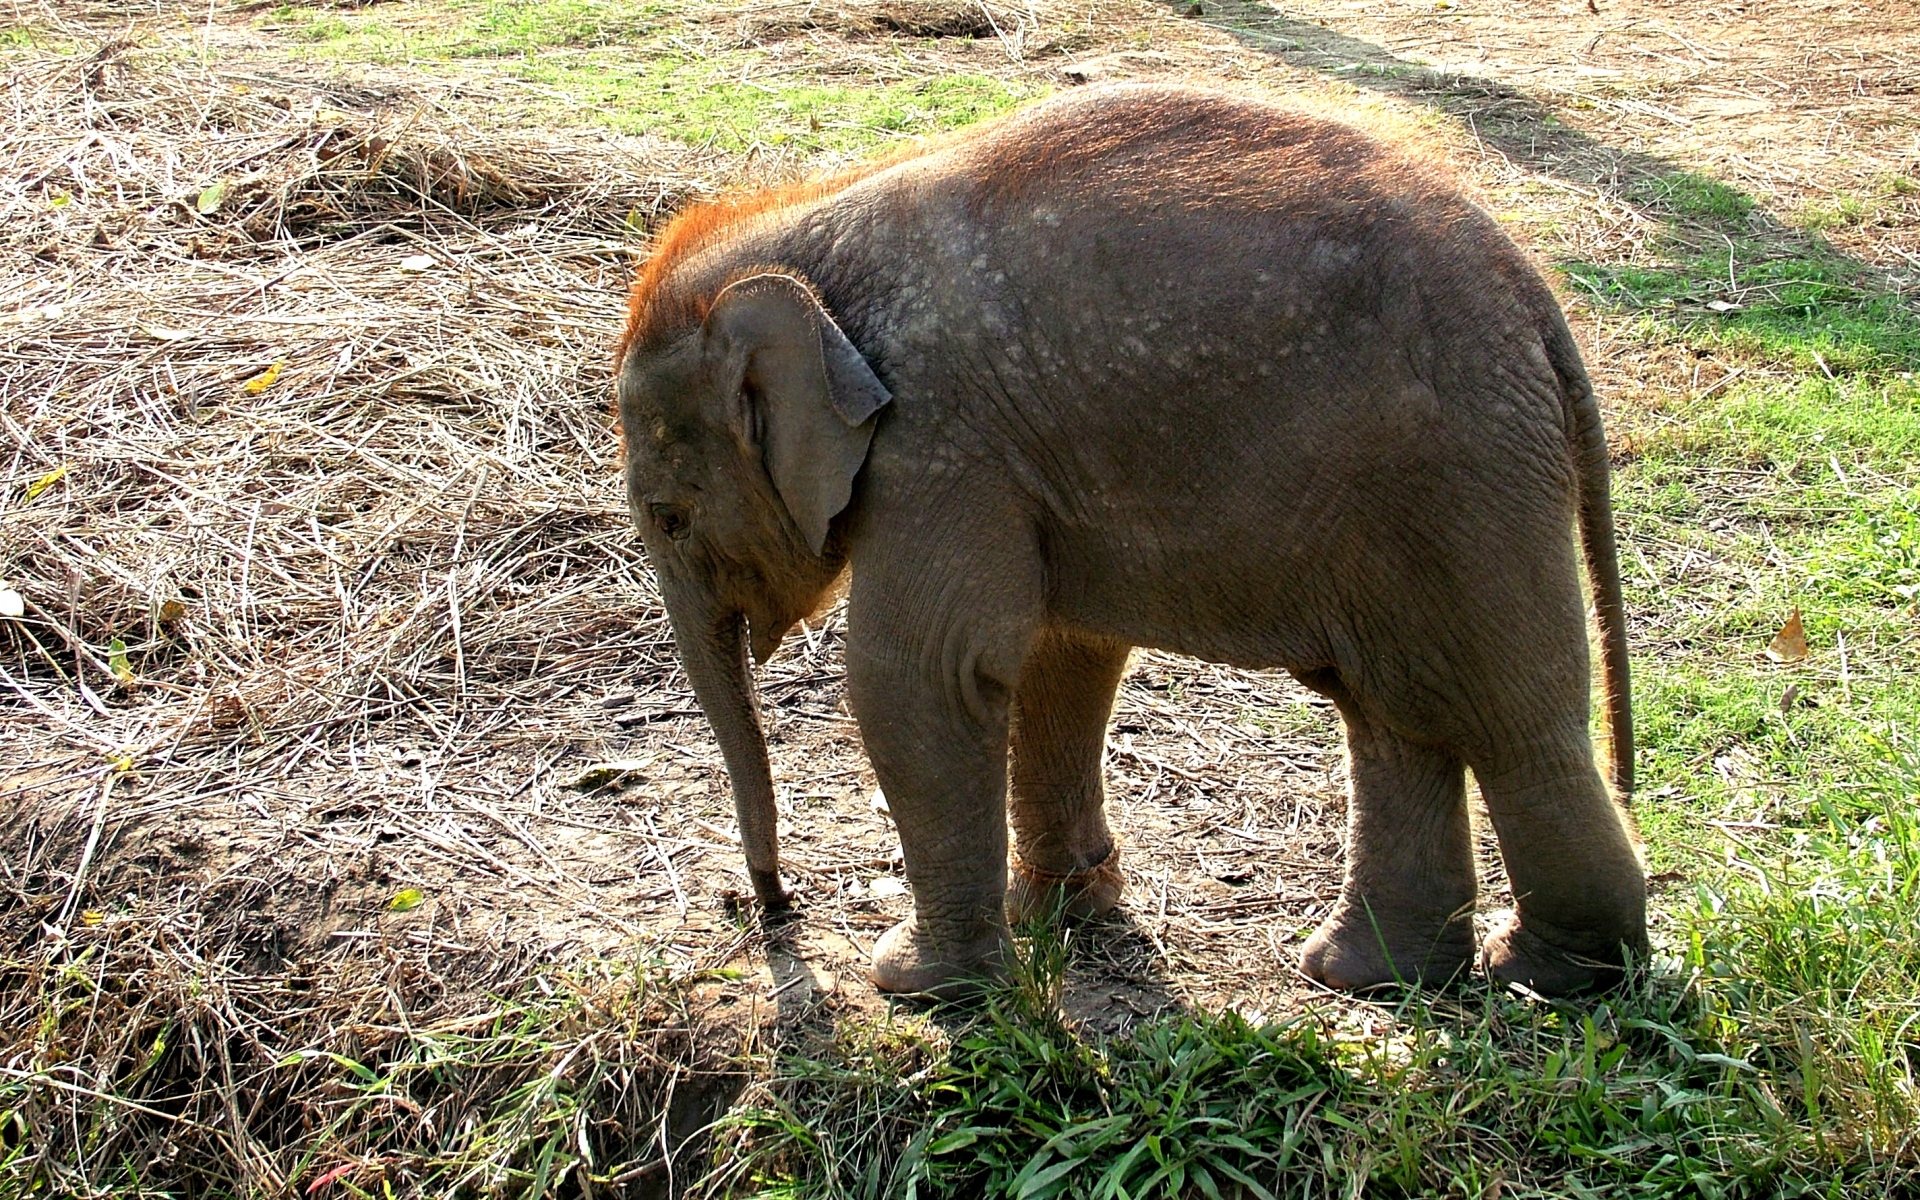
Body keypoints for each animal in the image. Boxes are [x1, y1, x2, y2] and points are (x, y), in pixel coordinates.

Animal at [612, 83, 1647, 999]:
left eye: (669, 516)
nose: (775, 908)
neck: (810, 238)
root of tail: (1538, 301)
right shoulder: (1024, 463)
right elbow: (1059, 654)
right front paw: (1060, 917)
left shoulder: (939, 446)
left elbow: (924, 676)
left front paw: (916, 985)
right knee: (1395, 715)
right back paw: (1366, 976)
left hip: (1458, 475)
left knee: (1510, 721)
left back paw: (1552, 976)